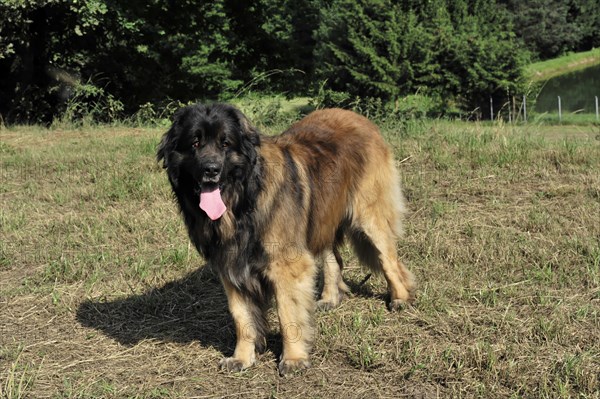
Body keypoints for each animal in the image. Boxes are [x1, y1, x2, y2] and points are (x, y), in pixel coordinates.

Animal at [157, 102, 414, 376]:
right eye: (195, 143)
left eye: (225, 143)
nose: (211, 170)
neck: (243, 201)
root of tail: (360, 119)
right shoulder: (231, 265)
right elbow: (241, 316)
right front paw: (241, 357)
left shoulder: (286, 264)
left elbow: (287, 312)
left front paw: (293, 359)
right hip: (319, 217)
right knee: (334, 258)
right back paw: (329, 298)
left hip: (368, 217)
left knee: (389, 260)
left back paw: (399, 298)